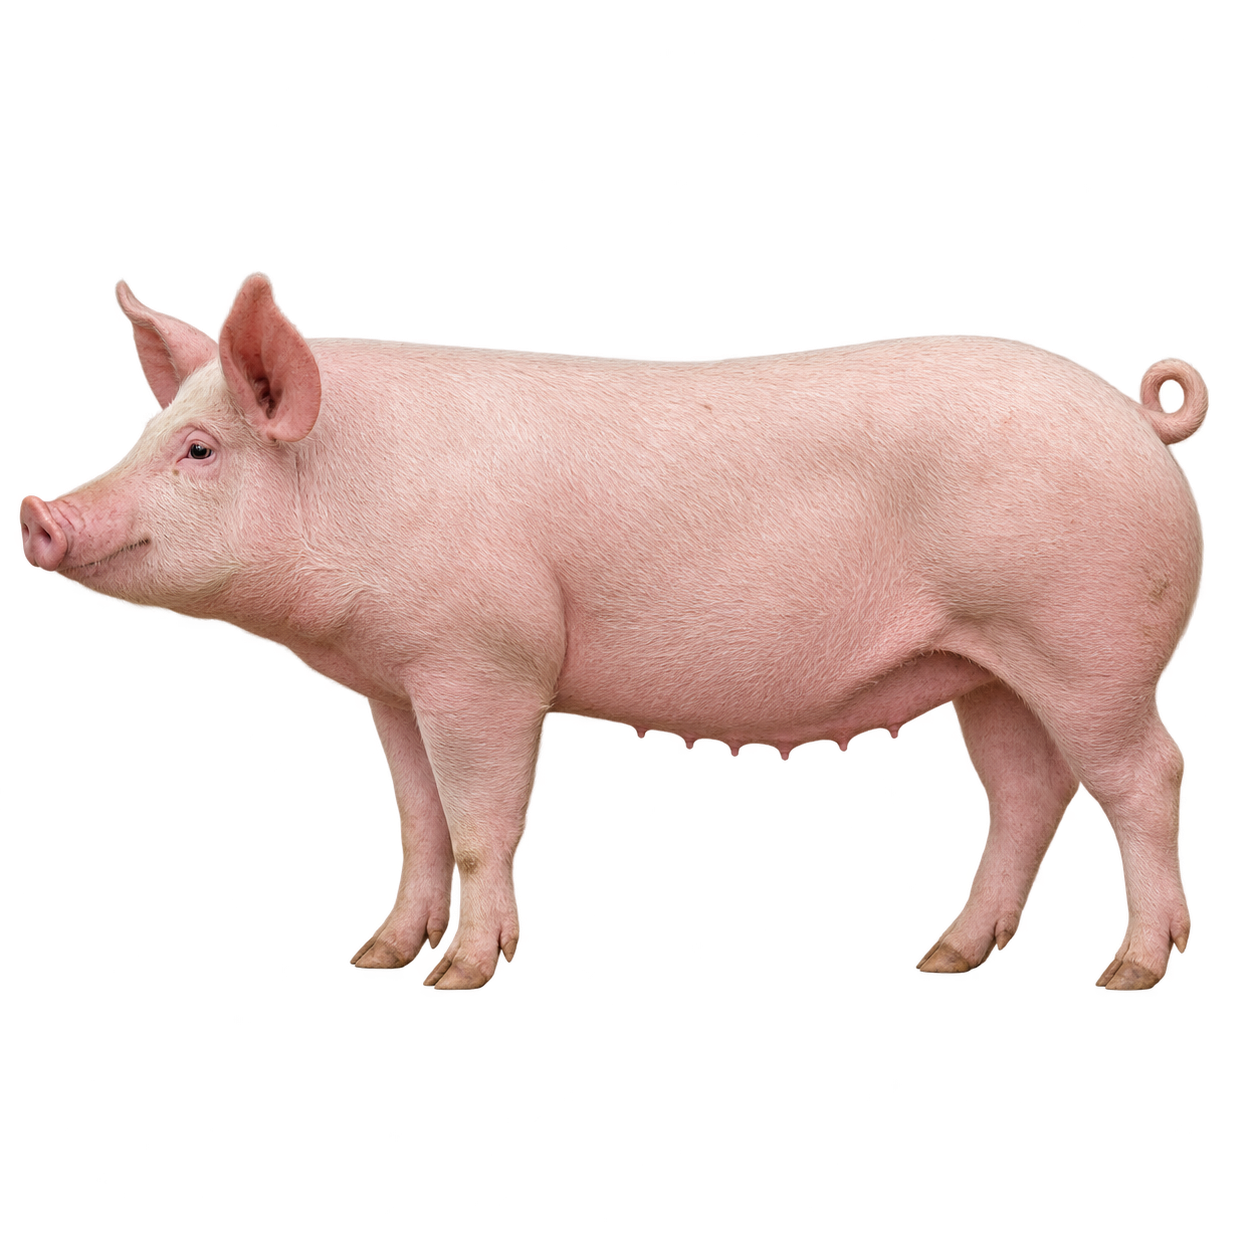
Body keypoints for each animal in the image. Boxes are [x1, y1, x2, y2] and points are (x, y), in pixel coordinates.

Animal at [18, 273, 1207, 993]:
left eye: (201, 451)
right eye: (145, 434)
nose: (40, 512)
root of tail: (1132, 414)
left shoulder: (485, 662)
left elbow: (484, 825)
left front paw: (462, 976)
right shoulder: (396, 683)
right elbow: (422, 826)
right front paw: (375, 956)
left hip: (1089, 644)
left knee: (1147, 779)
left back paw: (1131, 971)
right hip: (986, 667)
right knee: (1028, 794)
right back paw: (945, 958)